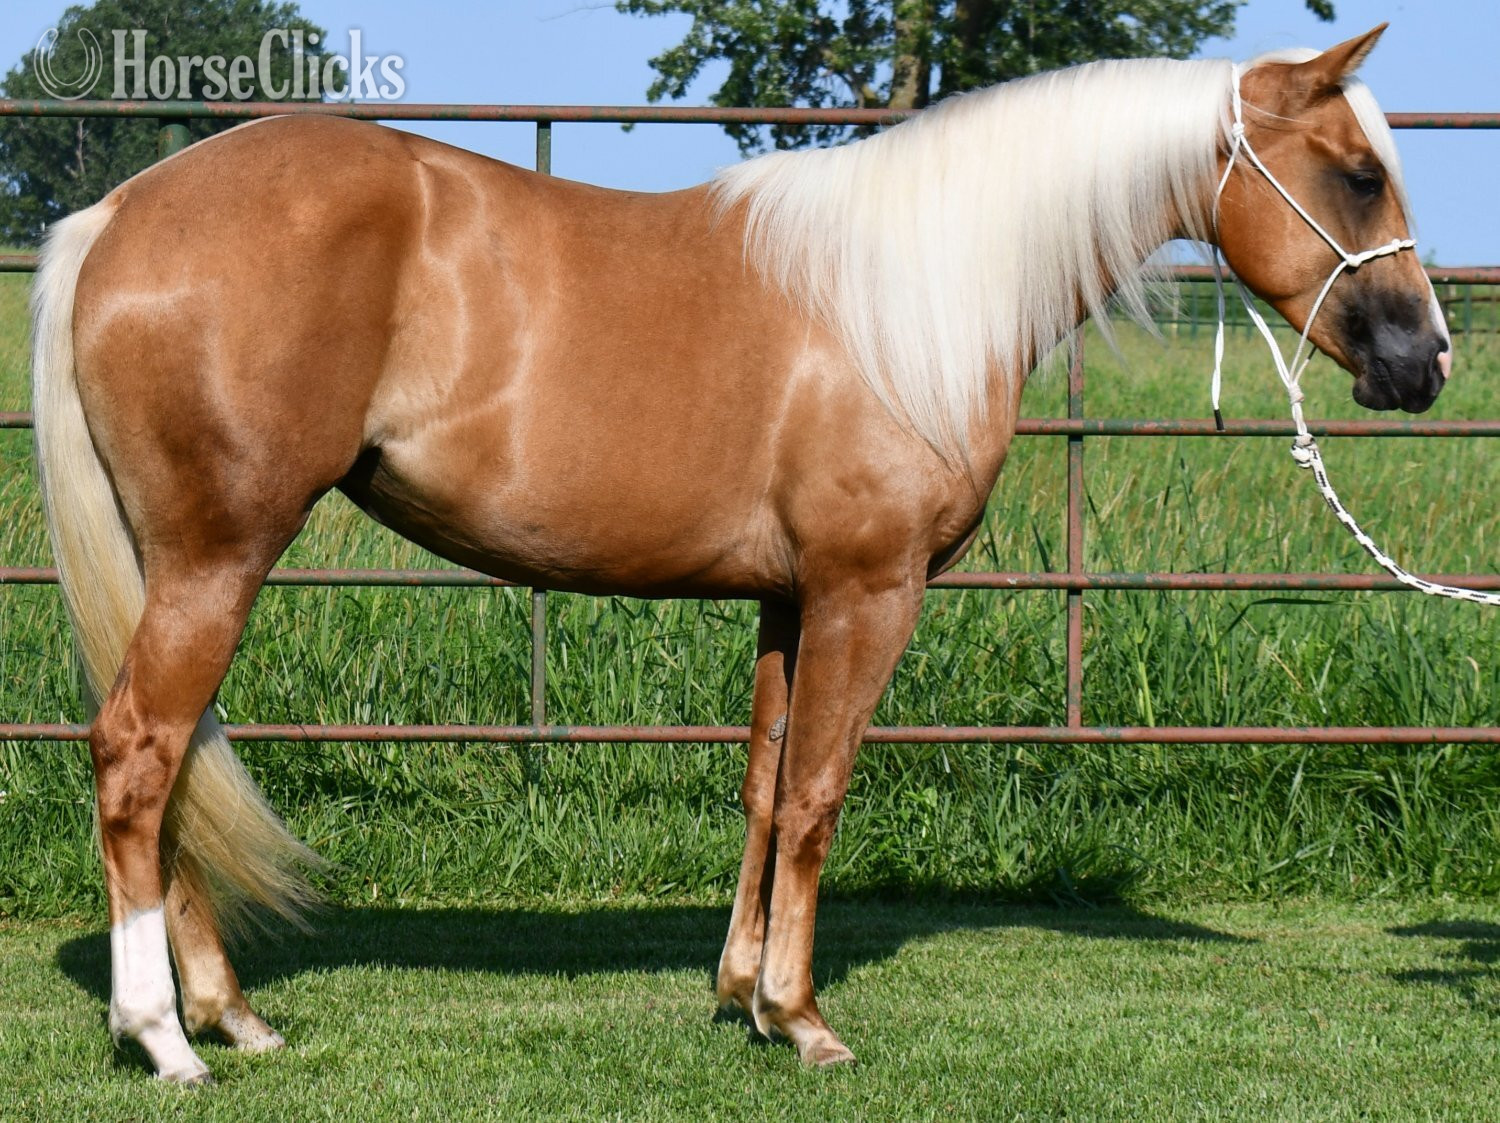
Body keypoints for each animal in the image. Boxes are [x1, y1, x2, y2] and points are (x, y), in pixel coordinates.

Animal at [30, 25, 1449, 1081]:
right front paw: (804, 1019)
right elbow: (820, 793)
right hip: (220, 556)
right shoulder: (869, 591)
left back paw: (230, 1016)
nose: (1425, 360)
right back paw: (163, 1038)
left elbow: (765, 787)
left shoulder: (786, 598)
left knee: (174, 765)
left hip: (188, 563)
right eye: (1355, 173)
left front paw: (739, 992)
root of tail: (117, 213)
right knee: (141, 754)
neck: (911, 299)